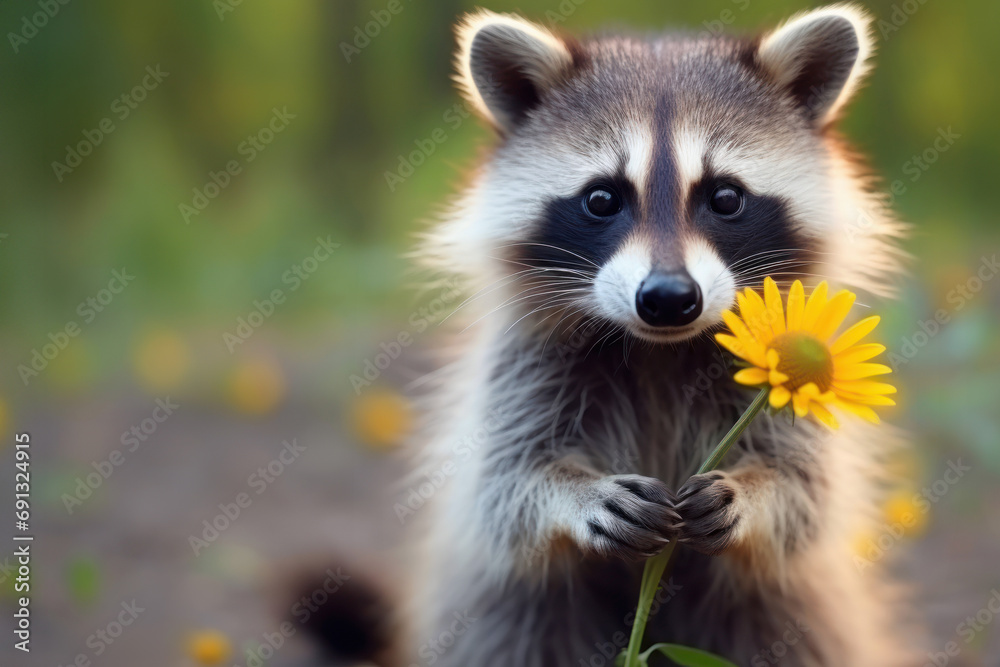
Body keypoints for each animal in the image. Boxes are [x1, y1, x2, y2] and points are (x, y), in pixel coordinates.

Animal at [394, 5, 916, 667]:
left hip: (790, 612)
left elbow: (804, 494)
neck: (658, 351)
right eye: (601, 198)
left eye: (725, 196)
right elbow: (507, 485)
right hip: (507, 612)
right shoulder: (523, 369)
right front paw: (575, 493)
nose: (668, 299)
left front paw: (754, 491)